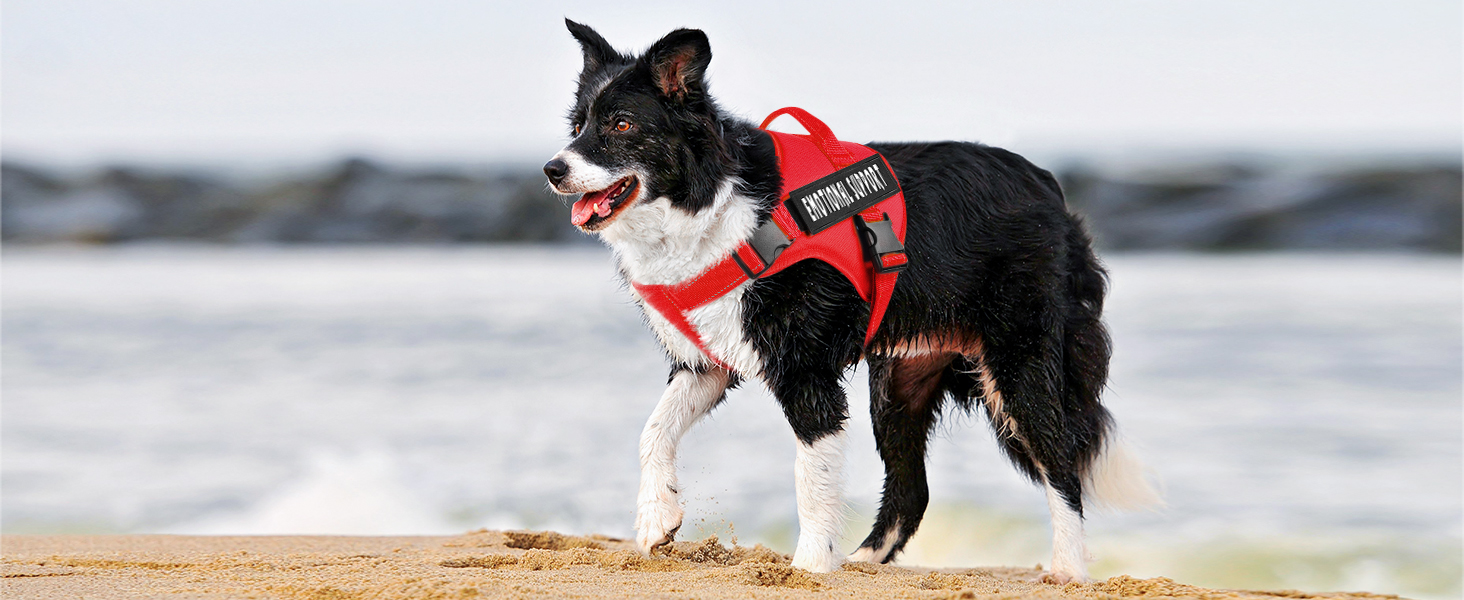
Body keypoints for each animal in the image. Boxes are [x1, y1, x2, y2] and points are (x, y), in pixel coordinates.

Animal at [544, 21, 1159, 582]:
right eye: (577, 126)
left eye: (622, 125)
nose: (552, 169)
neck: (713, 203)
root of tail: (1049, 188)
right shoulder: (706, 362)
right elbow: (653, 431)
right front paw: (657, 519)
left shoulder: (804, 371)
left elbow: (810, 477)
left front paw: (809, 568)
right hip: (900, 382)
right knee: (914, 489)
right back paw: (865, 563)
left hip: (1018, 362)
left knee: (1062, 462)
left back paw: (1068, 570)